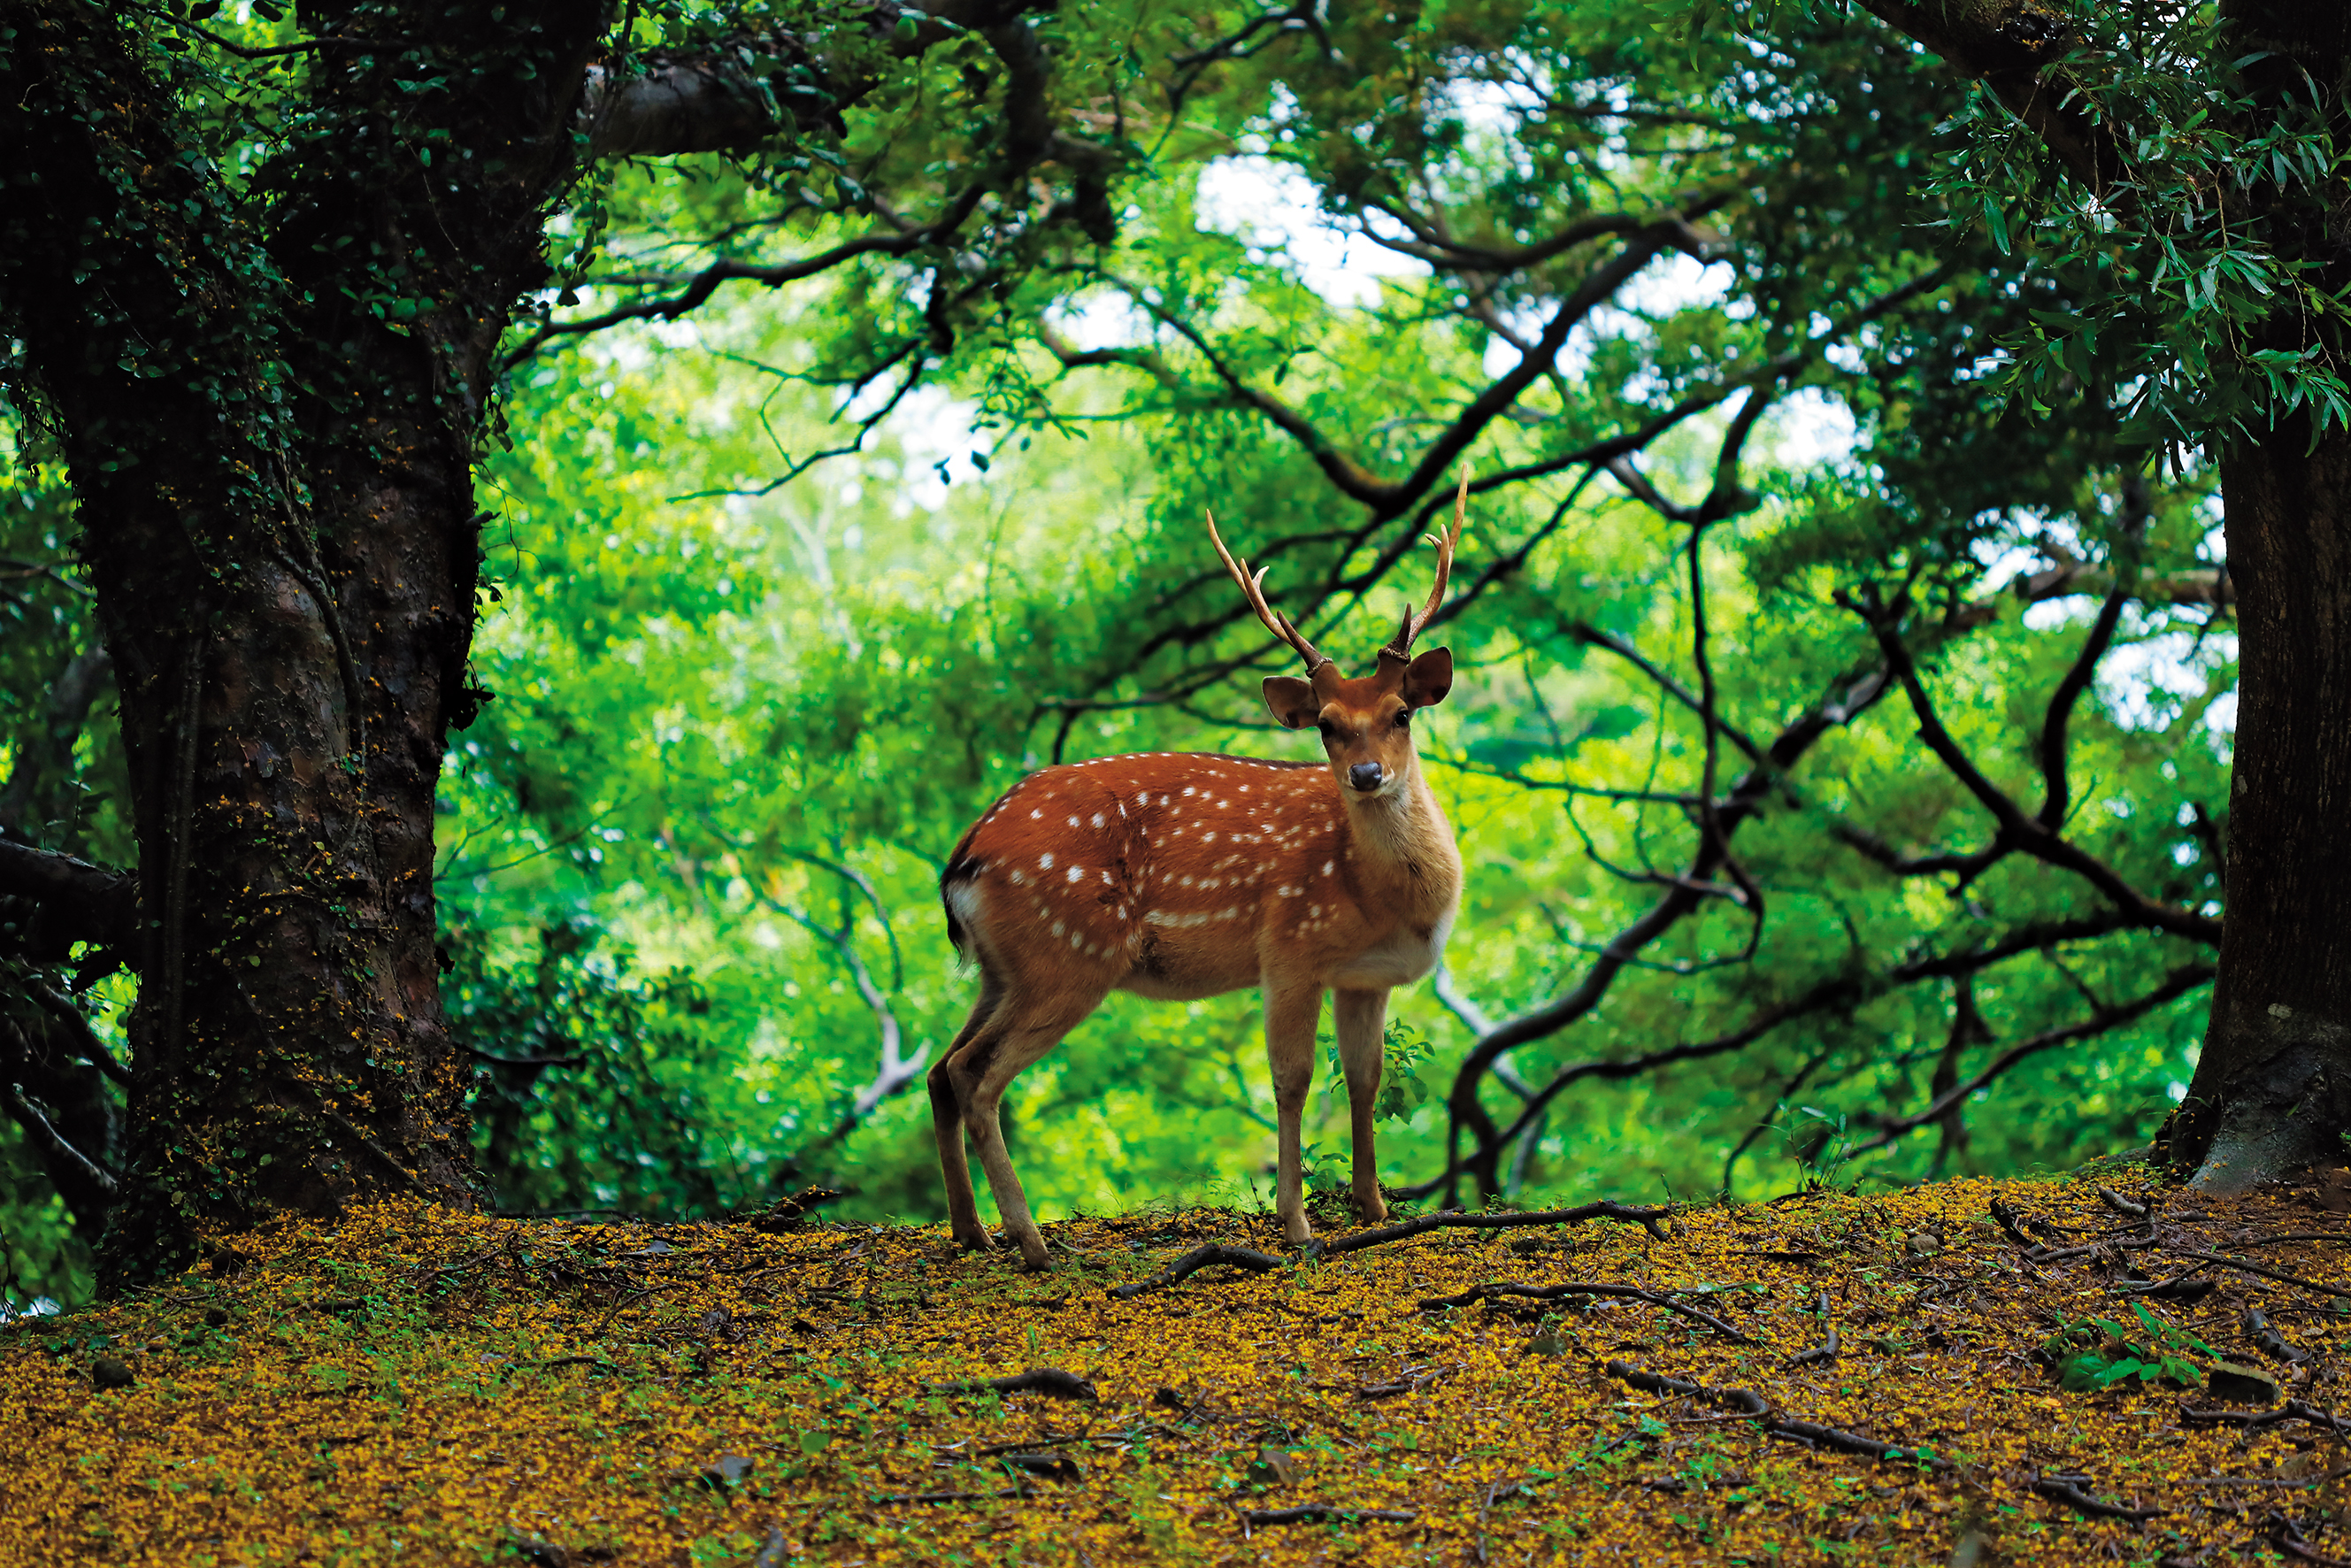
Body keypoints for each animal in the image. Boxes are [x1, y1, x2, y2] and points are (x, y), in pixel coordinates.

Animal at [930, 483, 1470, 1269]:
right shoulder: (1289, 947)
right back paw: (1031, 1242)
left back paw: (970, 1231)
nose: (1367, 775)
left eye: (1401, 713)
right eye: (1326, 725)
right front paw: (1295, 1224)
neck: (1382, 899)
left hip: (1004, 970)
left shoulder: (1362, 977)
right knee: (974, 1075)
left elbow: (1363, 1082)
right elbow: (1291, 1080)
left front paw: (1373, 1207)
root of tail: (962, 857)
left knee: (941, 1069)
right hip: (1068, 956)